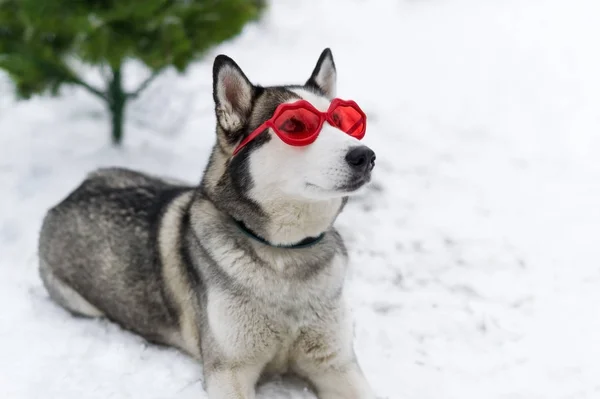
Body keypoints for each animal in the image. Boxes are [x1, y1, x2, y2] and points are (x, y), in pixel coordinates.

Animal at [38, 48, 376, 398]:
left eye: (342, 122)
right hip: (79, 301)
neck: (287, 254)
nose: (365, 156)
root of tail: (72, 193)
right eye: (295, 125)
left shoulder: (336, 362)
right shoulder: (229, 370)